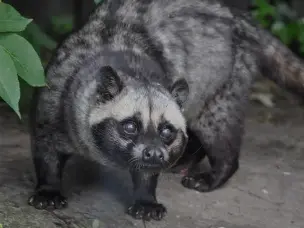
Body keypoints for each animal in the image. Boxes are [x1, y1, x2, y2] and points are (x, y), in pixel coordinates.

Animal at [27, 0, 304, 222]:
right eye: (130, 126)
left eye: (167, 130)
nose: (156, 154)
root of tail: (242, 18)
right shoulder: (53, 94)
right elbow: (45, 149)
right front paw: (48, 188)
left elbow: (147, 174)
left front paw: (146, 199)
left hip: (223, 84)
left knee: (216, 126)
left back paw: (216, 171)